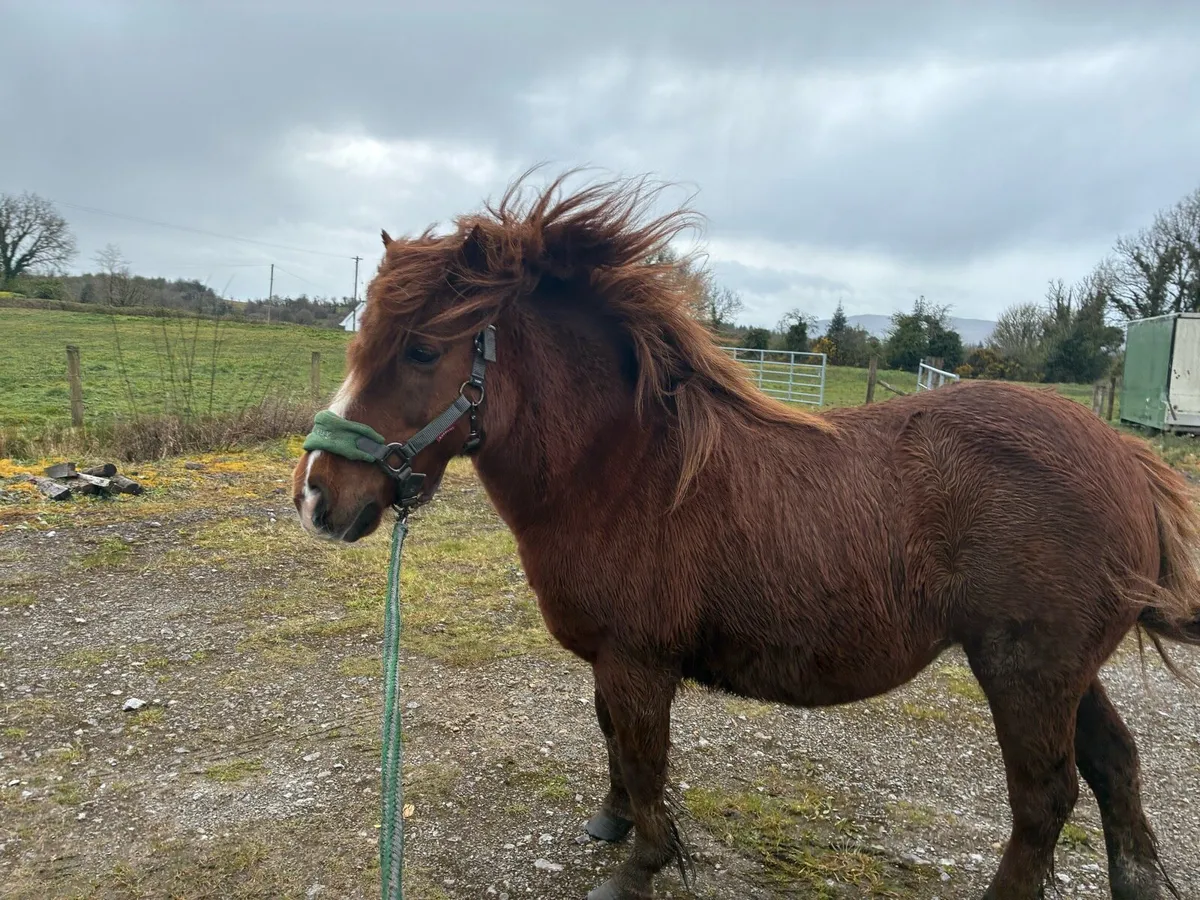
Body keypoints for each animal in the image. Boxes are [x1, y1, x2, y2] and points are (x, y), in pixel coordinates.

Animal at [293, 171, 1200, 899]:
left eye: (421, 350)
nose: (316, 497)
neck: (622, 465)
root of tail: (1124, 455)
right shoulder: (612, 659)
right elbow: (613, 743)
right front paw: (611, 821)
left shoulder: (638, 661)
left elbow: (645, 759)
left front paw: (639, 865)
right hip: (1065, 672)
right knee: (1116, 767)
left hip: (1026, 673)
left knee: (1045, 798)